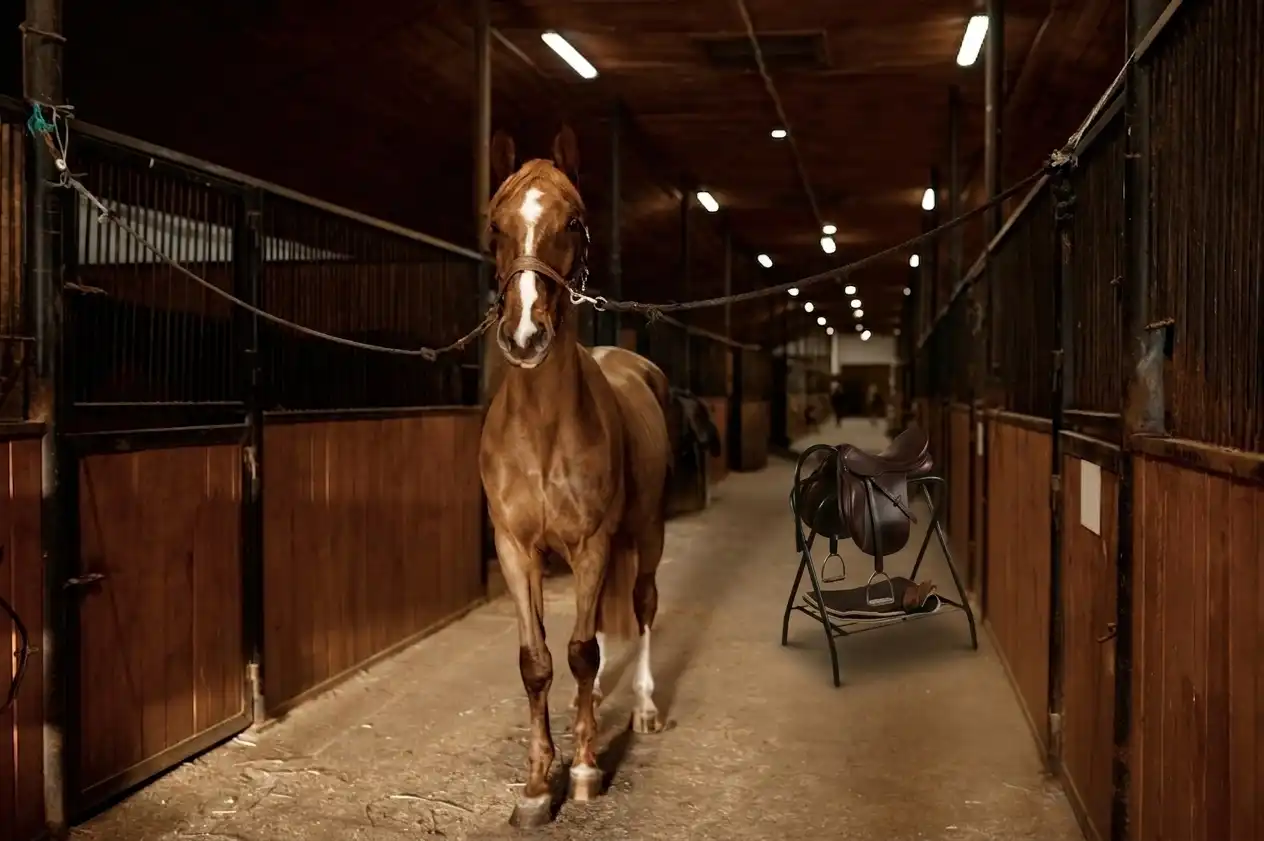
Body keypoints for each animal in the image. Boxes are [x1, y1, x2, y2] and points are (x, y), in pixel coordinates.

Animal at [478, 126, 673, 829]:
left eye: (575, 222)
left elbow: (582, 652)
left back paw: (642, 709)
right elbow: (538, 661)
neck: (542, 429)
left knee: (641, 608)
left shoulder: (592, 545)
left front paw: (586, 770)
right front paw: (539, 786)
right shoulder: (515, 549)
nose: (525, 335)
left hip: (646, 535)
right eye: (495, 224)